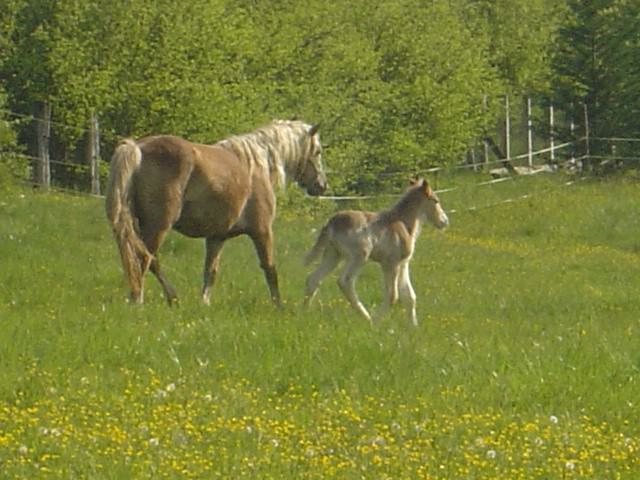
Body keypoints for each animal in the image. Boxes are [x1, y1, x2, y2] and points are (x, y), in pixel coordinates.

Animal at [105, 122, 328, 306]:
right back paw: (138, 300)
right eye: (317, 151)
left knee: (150, 260)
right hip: (158, 226)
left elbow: (210, 272)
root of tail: (137, 148)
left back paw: (171, 298)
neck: (257, 165)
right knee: (143, 260)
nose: (322, 185)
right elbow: (270, 269)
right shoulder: (262, 231)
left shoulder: (217, 237)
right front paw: (278, 306)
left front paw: (204, 304)